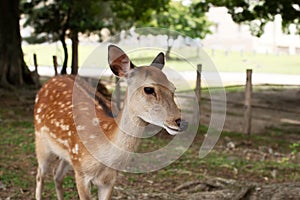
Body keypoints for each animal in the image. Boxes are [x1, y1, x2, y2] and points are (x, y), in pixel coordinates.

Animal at [33, 44, 188, 199]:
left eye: (173, 88)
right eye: (149, 89)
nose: (180, 122)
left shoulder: (109, 179)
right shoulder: (81, 173)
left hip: (67, 156)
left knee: (57, 175)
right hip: (41, 142)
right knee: (40, 175)